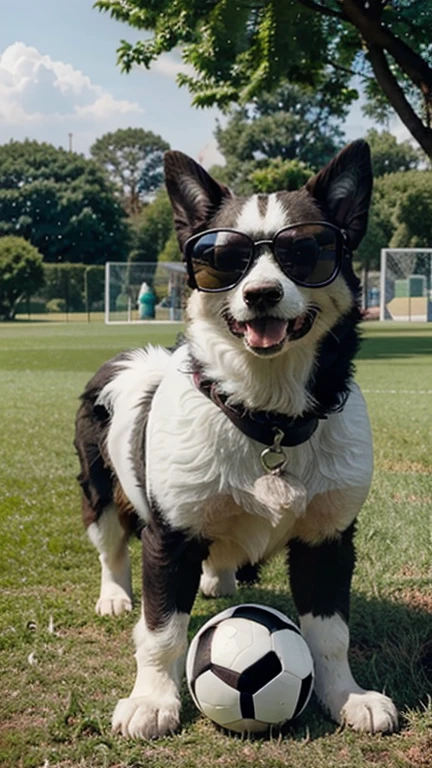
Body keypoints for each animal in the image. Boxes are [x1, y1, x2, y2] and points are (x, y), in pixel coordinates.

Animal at [74, 141, 398, 740]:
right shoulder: (169, 538)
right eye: (223, 257)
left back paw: (218, 579)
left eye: (307, 250)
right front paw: (151, 699)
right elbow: (161, 630)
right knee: (111, 545)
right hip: (100, 491)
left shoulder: (329, 539)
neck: (267, 416)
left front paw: (346, 695)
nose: (262, 293)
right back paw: (114, 594)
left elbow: (330, 633)